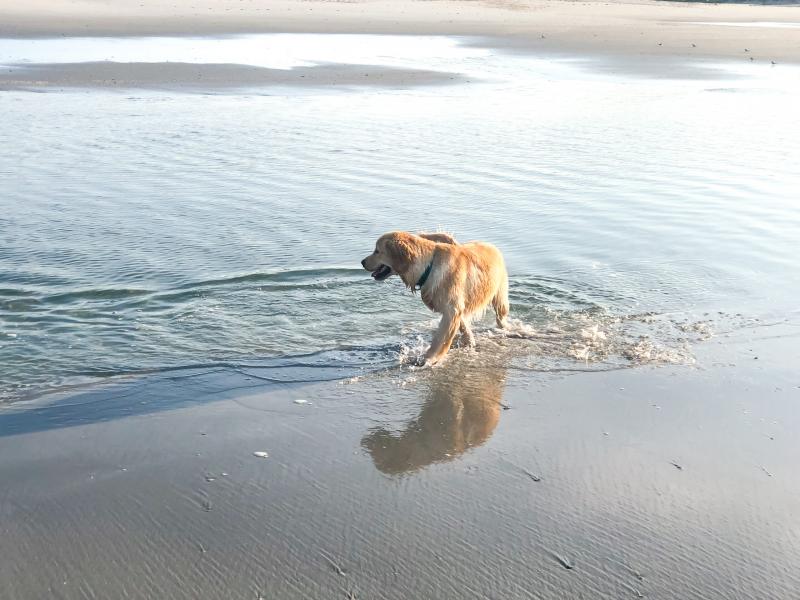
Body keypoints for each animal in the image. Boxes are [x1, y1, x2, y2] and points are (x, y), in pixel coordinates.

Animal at [360, 231, 510, 366]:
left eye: (377, 251)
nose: (362, 262)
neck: (429, 266)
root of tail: (491, 245)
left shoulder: (451, 311)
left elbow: (440, 339)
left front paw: (429, 358)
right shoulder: (455, 308)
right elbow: (462, 326)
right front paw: (468, 341)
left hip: (500, 295)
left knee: (500, 316)